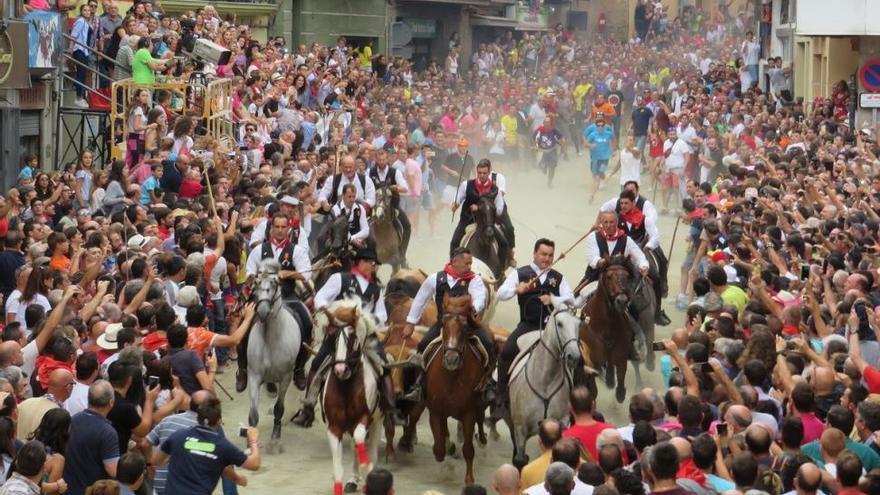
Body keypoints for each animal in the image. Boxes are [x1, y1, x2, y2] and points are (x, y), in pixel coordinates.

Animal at [248, 258, 302, 444]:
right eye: (256, 282)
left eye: (275, 283)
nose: (263, 311)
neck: (270, 339)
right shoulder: (254, 376)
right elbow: (253, 414)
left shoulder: (286, 377)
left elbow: (279, 408)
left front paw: (275, 436)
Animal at [320, 298, 382, 495]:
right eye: (332, 336)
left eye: (353, 336)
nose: (341, 369)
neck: (346, 387)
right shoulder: (334, 428)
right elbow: (337, 468)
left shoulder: (365, 417)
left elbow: (360, 437)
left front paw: (365, 467)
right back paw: (353, 480)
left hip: (378, 420)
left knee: (371, 448)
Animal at [424, 294, 492, 484]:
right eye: (443, 324)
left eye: (464, 327)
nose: (451, 359)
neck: (451, 379)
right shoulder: (435, 412)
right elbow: (439, 449)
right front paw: (447, 467)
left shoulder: (469, 412)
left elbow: (468, 449)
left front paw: (469, 479)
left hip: (479, 404)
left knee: (481, 421)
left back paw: (482, 442)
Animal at [506, 308, 588, 470]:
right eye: (560, 323)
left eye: (578, 324)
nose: (574, 357)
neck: (545, 381)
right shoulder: (520, 429)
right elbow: (520, 460)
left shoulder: (562, 423)